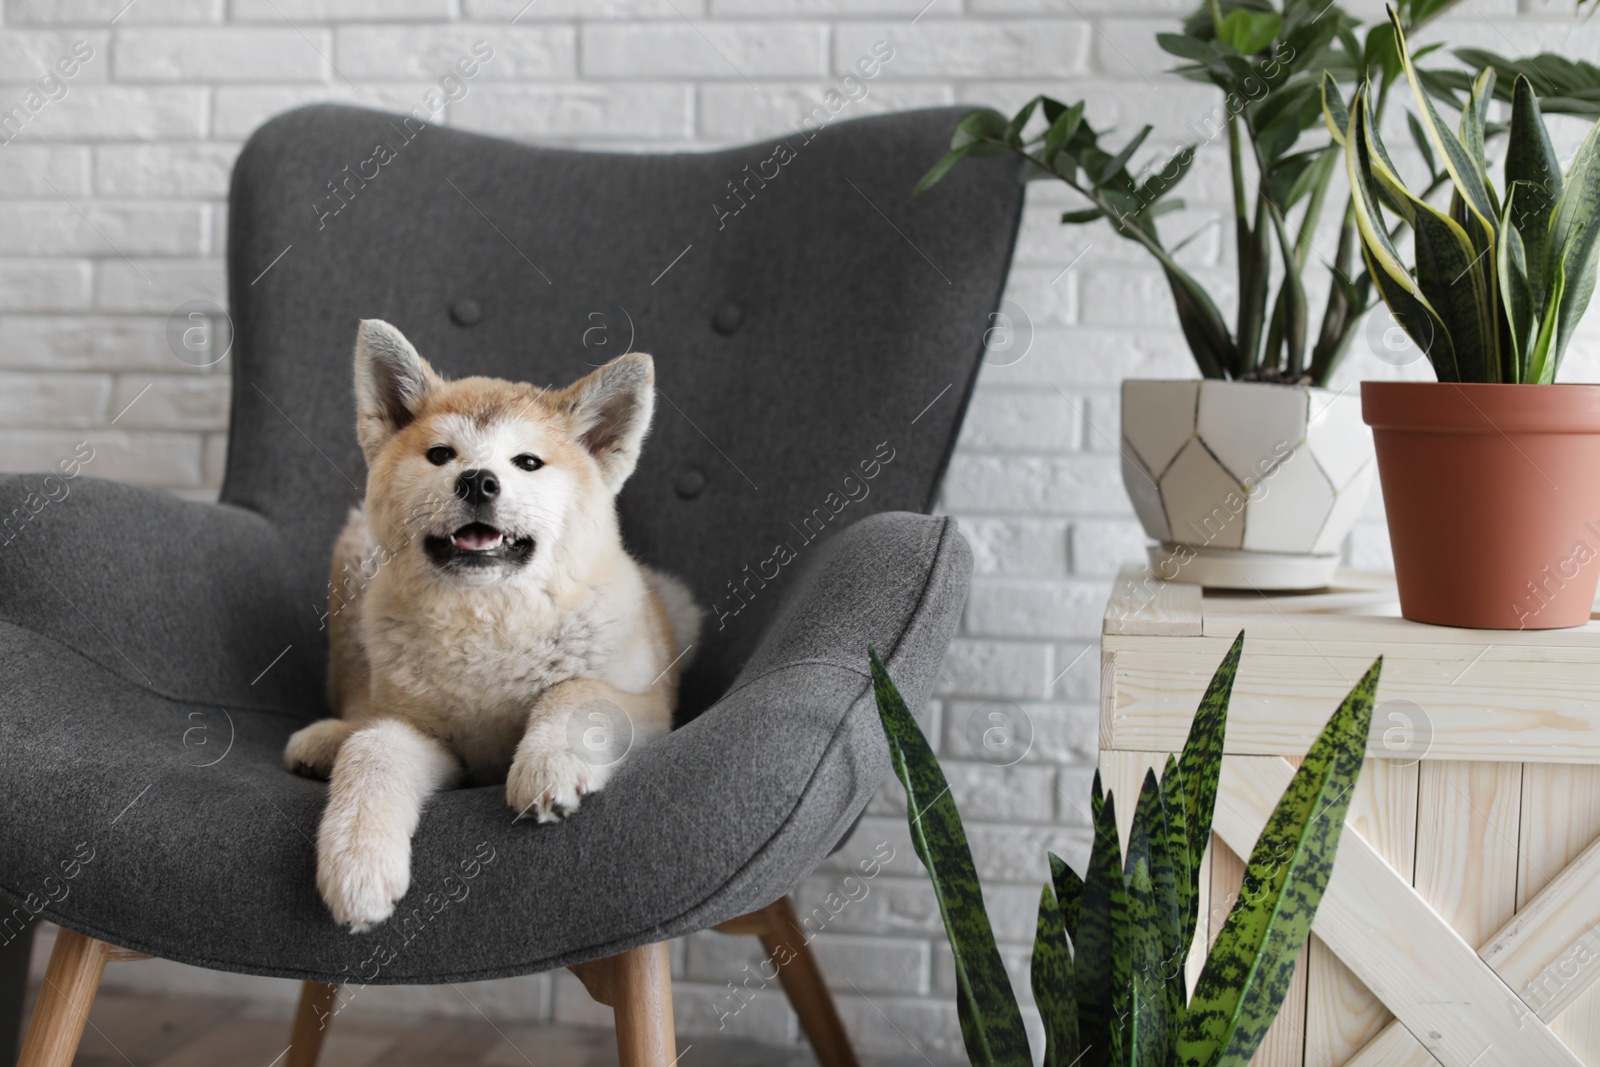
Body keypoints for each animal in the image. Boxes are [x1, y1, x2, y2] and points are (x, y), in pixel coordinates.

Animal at [284, 319, 697, 934]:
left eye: (527, 463)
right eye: (439, 455)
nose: (477, 481)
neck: (488, 623)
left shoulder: (651, 709)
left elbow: (578, 689)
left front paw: (548, 761)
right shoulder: (429, 736)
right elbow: (374, 747)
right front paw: (357, 861)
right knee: (361, 713)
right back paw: (329, 737)